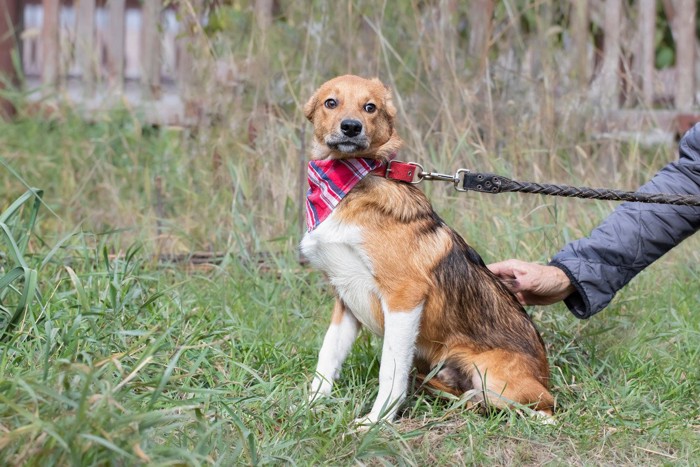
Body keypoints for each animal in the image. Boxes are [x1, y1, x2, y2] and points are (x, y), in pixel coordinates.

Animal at [300, 74, 552, 428]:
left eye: (370, 107)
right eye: (330, 102)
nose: (351, 127)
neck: (350, 184)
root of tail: (545, 376)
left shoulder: (404, 297)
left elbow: (390, 370)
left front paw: (377, 421)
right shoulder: (345, 300)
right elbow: (327, 357)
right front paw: (310, 406)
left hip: (493, 376)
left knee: (543, 409)